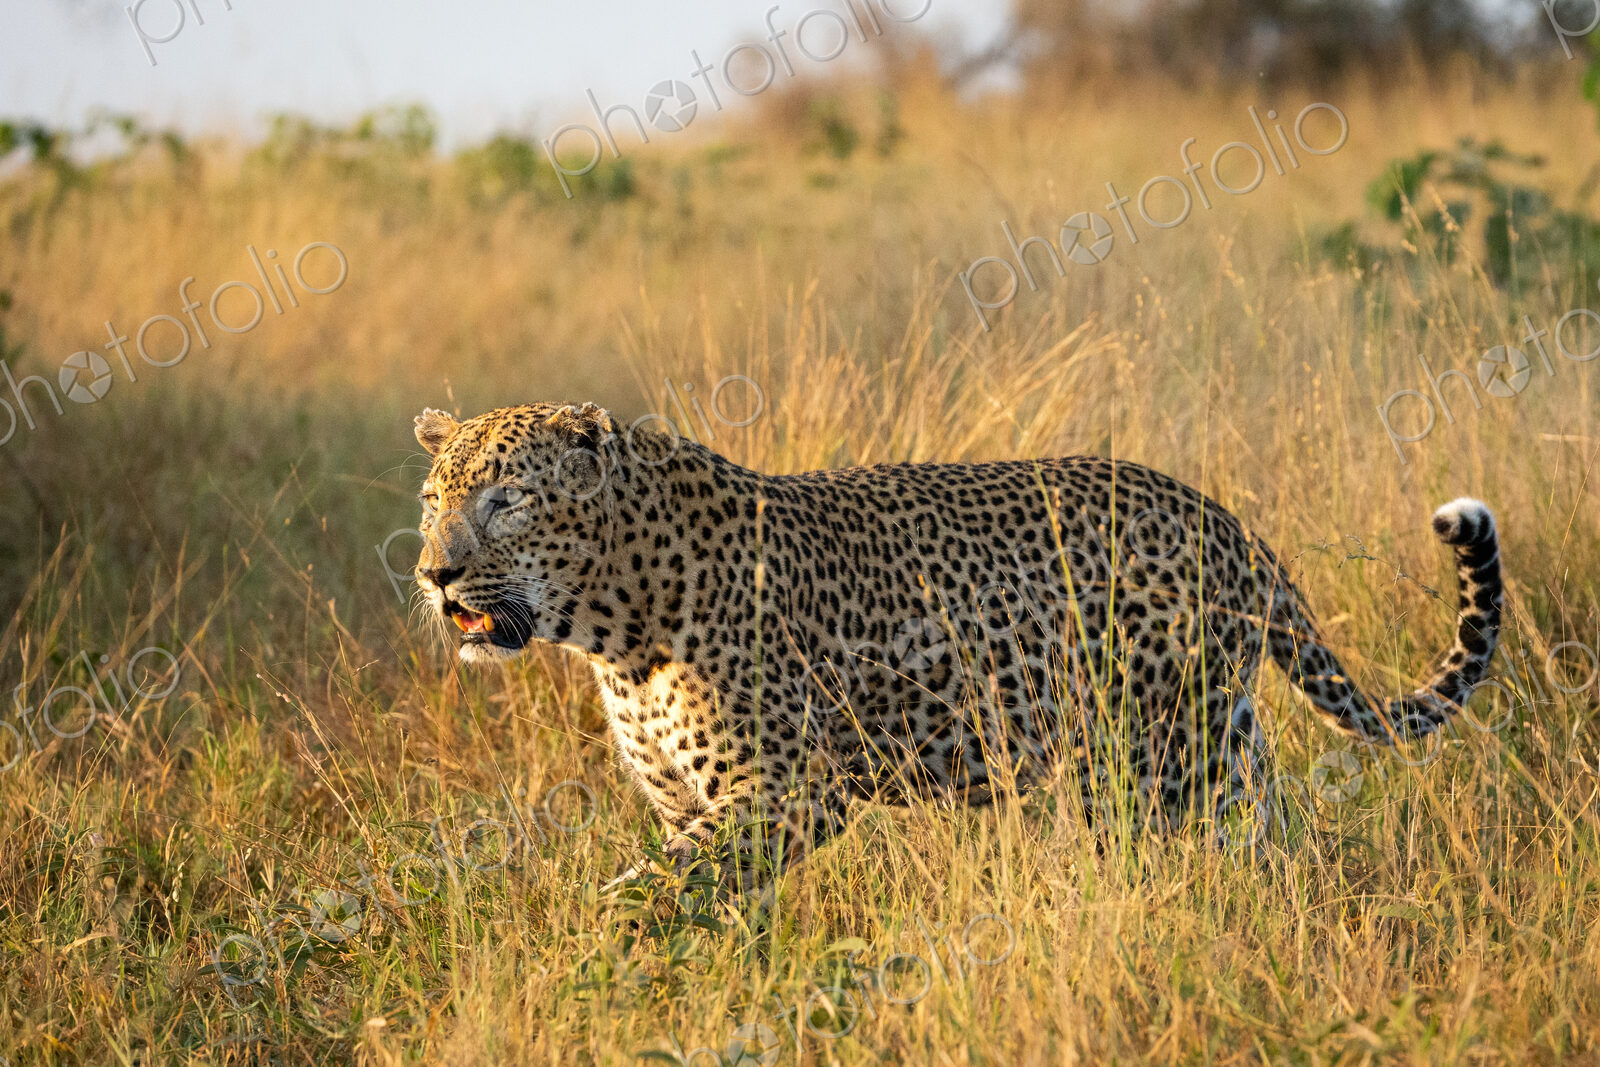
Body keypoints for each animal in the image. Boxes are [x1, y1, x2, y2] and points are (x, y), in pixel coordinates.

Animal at [410, 401, 1503, 886]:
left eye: (506, 499)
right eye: (432, 498)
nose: (432, 573)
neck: (612, 627)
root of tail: (1224, 518)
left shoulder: (792, 790)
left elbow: (652, 894)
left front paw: (600, 956)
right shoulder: (695, 802)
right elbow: (705, 897)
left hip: (1144, 754)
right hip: (1220, 737)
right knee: (1264, 832)